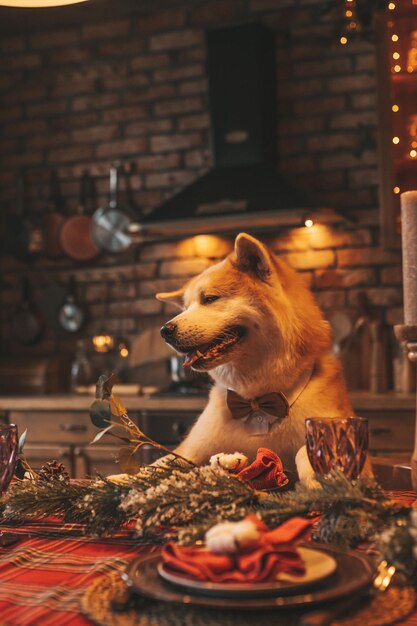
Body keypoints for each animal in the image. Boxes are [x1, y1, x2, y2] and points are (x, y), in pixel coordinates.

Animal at [158, 232, 356, 480]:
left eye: (210, 298)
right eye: (185, 308)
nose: (165, 331)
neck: (256, 400)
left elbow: (305, 451)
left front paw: (315, 478)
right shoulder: (189, 449)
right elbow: (154, 466)